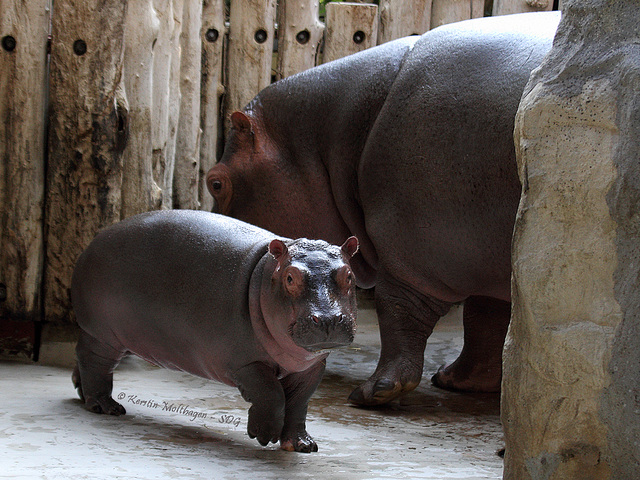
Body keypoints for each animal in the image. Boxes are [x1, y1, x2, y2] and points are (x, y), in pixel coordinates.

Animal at [72, 208, 360, 452]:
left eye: (349, 275)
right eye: (290, 278)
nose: (328, 319)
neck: (265, 277)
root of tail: (95, 239)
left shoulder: (312, 368)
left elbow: (299, 404)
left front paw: (302, 445)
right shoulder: (244, 363)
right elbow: (272, 394)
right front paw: (264, 436)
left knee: (83, 358)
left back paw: (81, 391)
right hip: (102, 334)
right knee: (96, 364)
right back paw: (106, 407)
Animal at [208, 13, 564, 404]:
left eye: (215, 182)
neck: (326, 139)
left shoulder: (416, 254)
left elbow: (398, 312)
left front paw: (374, 392)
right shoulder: (486, 259)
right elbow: (485, 317)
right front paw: (455, 380)